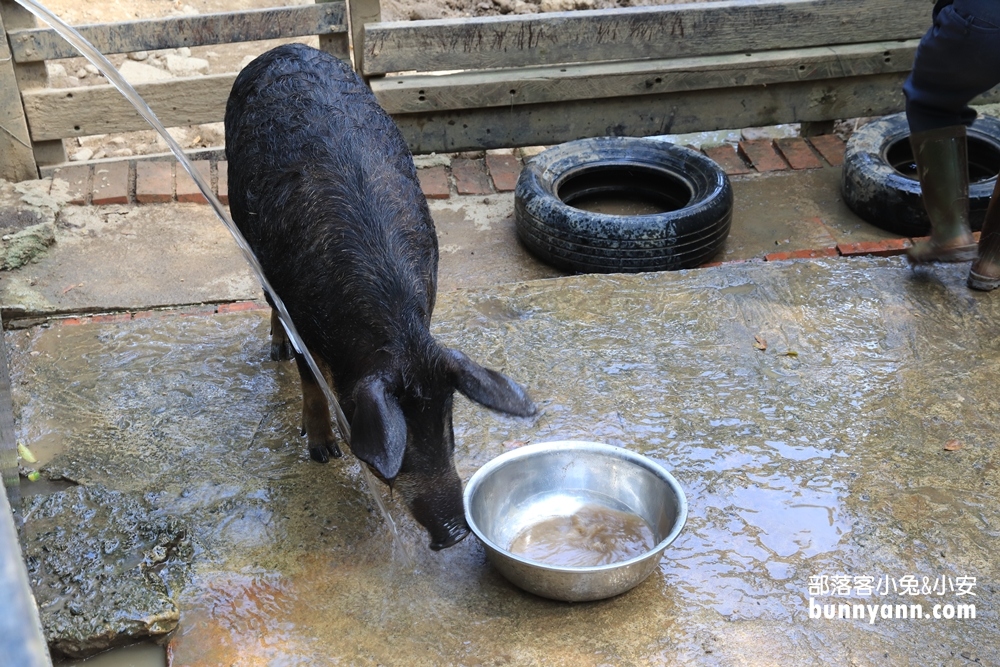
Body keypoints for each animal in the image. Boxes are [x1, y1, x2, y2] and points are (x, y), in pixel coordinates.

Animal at [227, 44, 540, 552]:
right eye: (405, 439)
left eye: (447, 424)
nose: (455, 532)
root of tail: (284, 48)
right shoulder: (299, 313)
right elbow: (311, 380)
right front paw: (323, 453)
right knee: (266, 301)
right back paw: (275, 354)